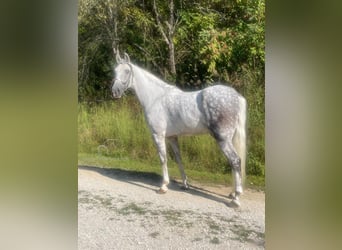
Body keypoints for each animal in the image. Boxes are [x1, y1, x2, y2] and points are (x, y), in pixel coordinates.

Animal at [111, 51, 247, 207]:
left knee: (235, 161)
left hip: (223, 139)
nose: (115, 92)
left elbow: (163, 158)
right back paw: (232, 193)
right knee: (234, 163)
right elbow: (178, 159)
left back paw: (236, 198)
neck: (155, 98)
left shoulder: (158, 135)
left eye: (127, 71)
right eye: (115, 70)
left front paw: (163, 186)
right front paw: (185, 184)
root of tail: (236, 96)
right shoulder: (172, 137)